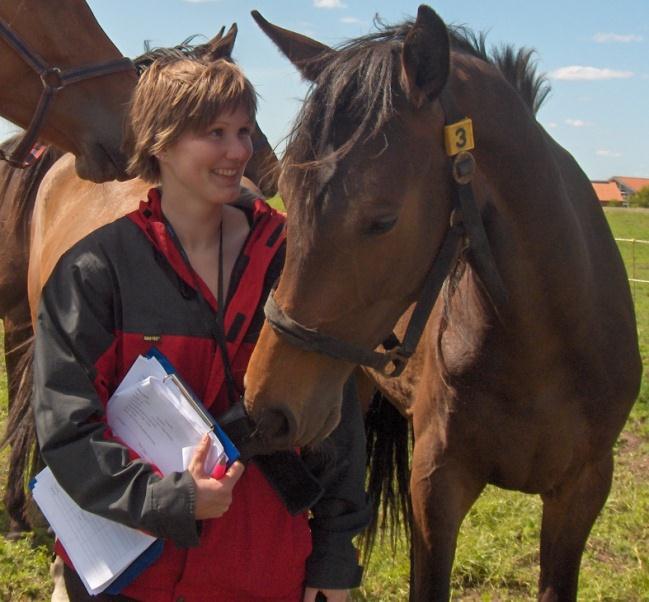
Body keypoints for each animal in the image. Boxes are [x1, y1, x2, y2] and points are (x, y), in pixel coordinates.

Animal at [244, 5, 644, 600]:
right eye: (286, 196)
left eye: (382, 219)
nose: (266, 408)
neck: (545, 346)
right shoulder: (437, 489)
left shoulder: (583, 490)